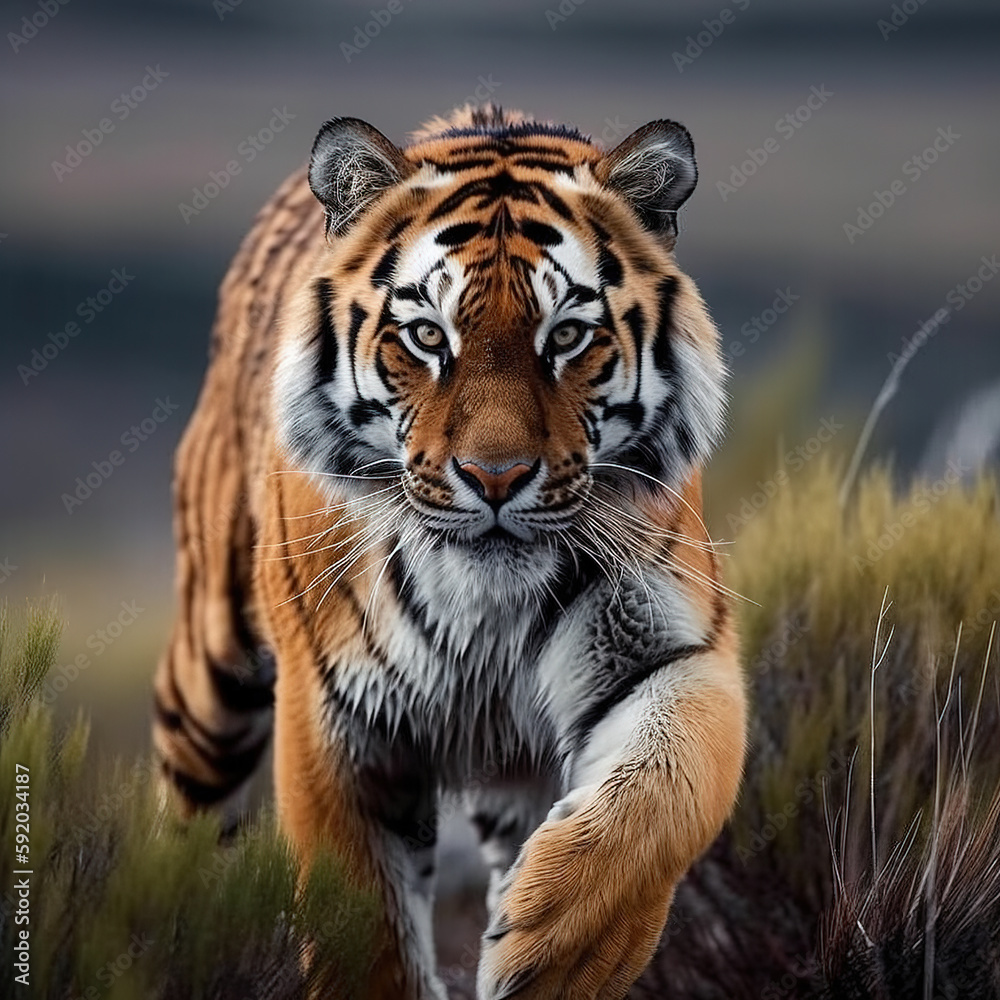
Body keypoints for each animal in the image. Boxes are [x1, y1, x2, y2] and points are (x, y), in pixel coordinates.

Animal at [153, 104, 747, 1000]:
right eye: (429, 337)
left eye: (567, 337)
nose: (494, 479)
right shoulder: (338, 711)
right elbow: (364, 922)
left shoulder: (673, 646)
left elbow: (664, 793)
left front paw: (561, 952)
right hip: (211, 674)